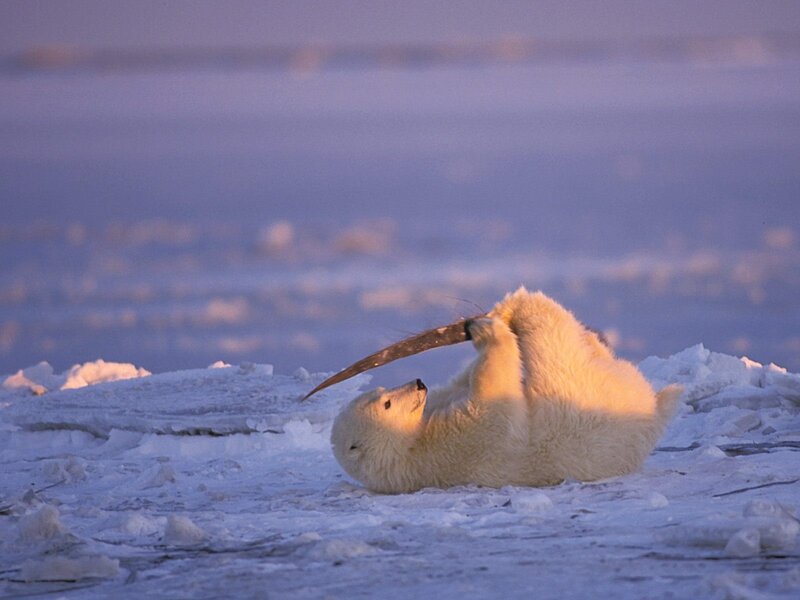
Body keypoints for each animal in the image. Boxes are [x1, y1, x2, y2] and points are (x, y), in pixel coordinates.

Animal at [330, 288, 681, 494]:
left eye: (381, 391)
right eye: (387, 404)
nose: (418, 383)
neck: (408, 449)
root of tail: (653, 410)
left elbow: (462, 384)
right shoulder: (460, 445)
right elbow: (493, 399)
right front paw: (486, 329)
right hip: (578, 393)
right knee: (553, 338)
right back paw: (521, 304)